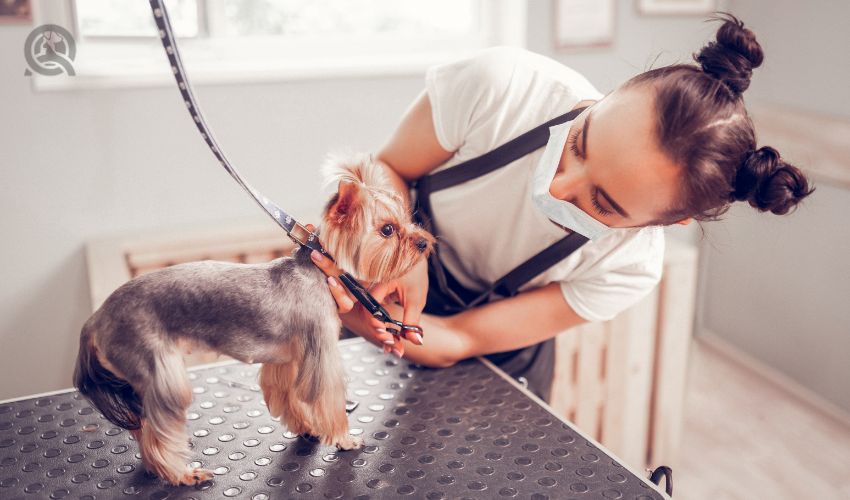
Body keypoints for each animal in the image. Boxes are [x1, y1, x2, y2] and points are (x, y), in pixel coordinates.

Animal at [71, 154, 430, 486]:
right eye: (387, 230)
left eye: (409, 219)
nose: (425, 241)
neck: (318, 268)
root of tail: (95, 321)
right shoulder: (321, 352)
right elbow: (328, 397)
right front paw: (343, 438)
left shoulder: (286, 360)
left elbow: (286, 396)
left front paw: (306, 428)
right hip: (158, 368)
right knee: (157, 429)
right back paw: (181, 473)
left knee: (143, 427)